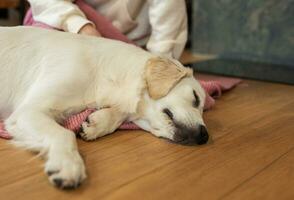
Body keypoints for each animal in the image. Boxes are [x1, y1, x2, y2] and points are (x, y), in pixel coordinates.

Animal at [0, 26, 208, 189]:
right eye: (196, 98)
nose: (204, 136)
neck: (106, 72)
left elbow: (119, 114)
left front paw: (97, 124)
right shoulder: (27, 111)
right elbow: (64, 133)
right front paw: (68, 165)